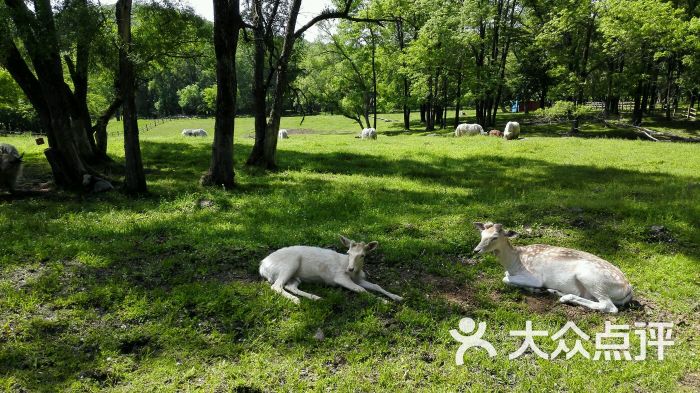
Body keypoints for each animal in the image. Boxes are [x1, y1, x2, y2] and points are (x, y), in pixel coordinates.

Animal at [258, 236, 402, 304]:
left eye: (363, 255)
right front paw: (383, 301)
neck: (355, 274)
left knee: (290, 286)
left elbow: (376, 285)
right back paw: (296, 300)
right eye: (348, 253)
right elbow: (361, 289)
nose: (350, 269)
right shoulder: (339, 277)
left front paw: (398, 297)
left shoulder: (359, 279)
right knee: (276, 286)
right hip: (289, 264)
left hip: (295, 276)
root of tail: (262, 267)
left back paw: (316, 298)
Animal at [474, 222, 632, 310]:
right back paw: (554, 292)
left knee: (609, 306)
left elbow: (505, 279)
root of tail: (628, 289)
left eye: (494, 237)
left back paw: (564, 298)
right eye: (481, 235)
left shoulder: (535, 277)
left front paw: (534, 288)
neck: (514, 263)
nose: (476, 250)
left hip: (592, 279)